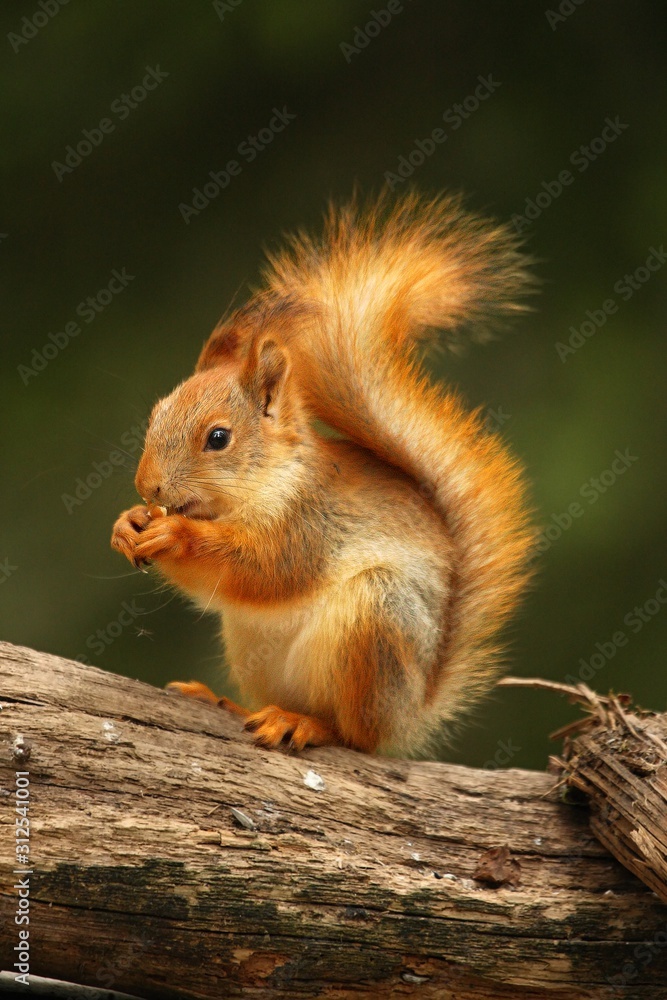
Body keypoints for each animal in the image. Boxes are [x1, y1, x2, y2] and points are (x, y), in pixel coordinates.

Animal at [111, 193, 534, 756]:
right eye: (156, 414)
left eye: (218, 438)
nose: (148, 486)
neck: (265, 481)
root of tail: (409, 714)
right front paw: (127, 523)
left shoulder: (310, 521)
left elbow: (263, 568)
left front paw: (176, 534)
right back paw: (227, 703)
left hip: (378, 620)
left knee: (354, 736)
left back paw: (305, 724)